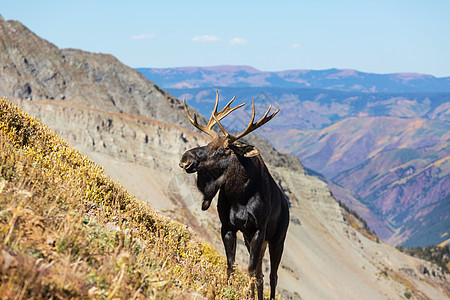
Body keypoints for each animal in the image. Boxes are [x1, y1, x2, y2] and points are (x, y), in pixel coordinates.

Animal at [178, 92, 290, 300]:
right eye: (208, 143)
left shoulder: (258, 229)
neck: (240, 195)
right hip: (252, 238)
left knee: (273, 276)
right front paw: (226, 290)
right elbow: (232, 265)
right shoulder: (228, 227)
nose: (185, 158)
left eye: (221, 150)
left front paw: (247, 294)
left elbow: (250, 269)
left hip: (277, 239)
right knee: (261, 274)